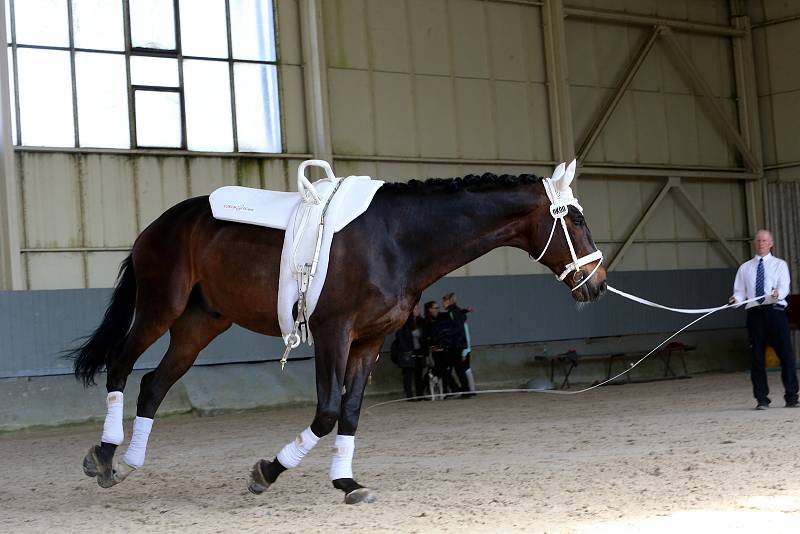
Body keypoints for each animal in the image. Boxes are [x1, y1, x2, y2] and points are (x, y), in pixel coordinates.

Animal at [69, 161, 608, 504]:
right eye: (575, 217)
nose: (599, 282)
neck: (396, 238)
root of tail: (158, 224)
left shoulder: (369, 341)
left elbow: (350, 413)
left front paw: (347, 483)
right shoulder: (334, 333)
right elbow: (327, 413)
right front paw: (266, 472)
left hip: (201, 324)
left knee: (153, 384)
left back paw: (127, 462)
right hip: (160, 308)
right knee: (121, 367)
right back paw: (105, 455)